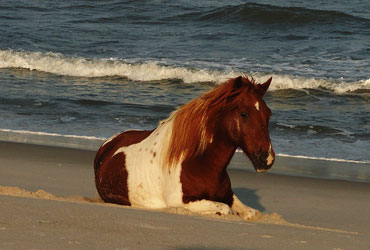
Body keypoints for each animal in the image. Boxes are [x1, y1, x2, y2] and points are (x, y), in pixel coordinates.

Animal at [94, 75, 274, 219]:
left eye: (268, 113)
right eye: (243, 113)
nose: (267, 159)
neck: (201, 163)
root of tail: (108, 144)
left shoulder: (228, 196)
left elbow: (250, 212)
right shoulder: (182, 202)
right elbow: (225, 209)